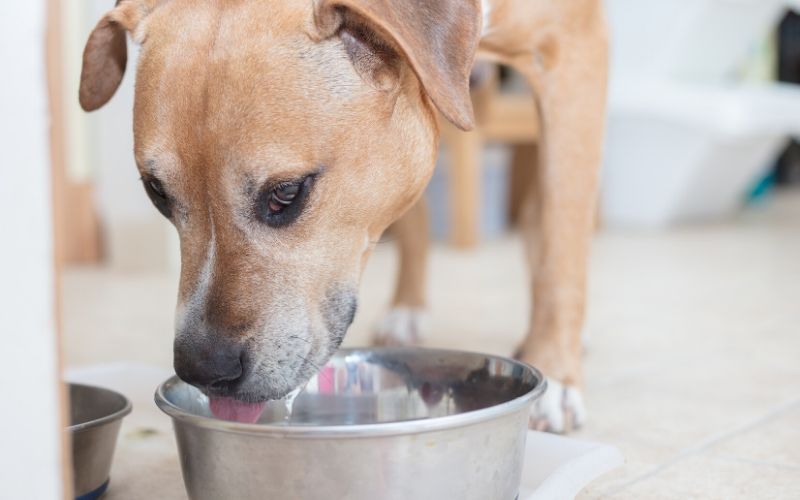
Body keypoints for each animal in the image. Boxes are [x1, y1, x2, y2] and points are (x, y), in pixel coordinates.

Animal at [79, 0, 608, 430]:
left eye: (285, 193)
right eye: (157, 193)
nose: (204, 369)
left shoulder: (571, 58)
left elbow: (562, 234)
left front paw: (556, 373)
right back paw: (407, 309)